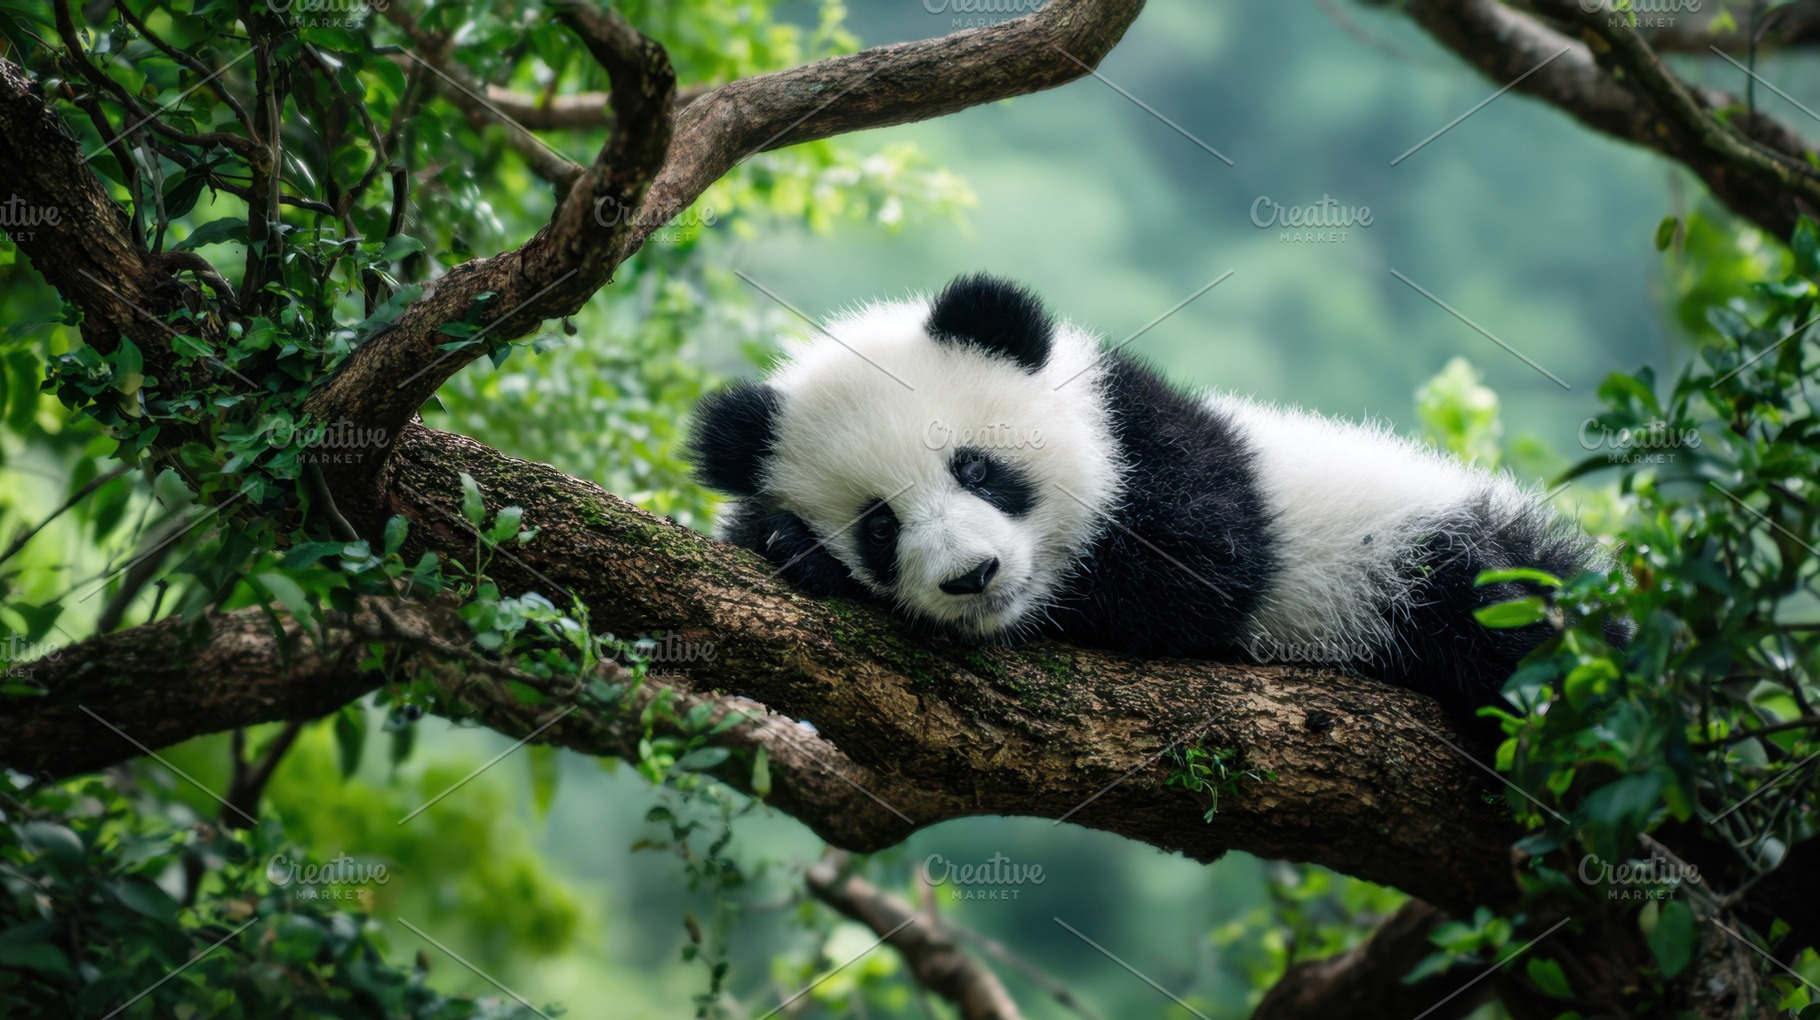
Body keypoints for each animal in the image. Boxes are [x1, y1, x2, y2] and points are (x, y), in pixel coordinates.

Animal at [689, 273, 1604, 729]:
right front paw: (784, 541)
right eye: (879, 525)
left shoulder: (1163, 449)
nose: (973, 576)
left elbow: (1195, 577)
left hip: (1437, 566)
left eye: (976, 469)